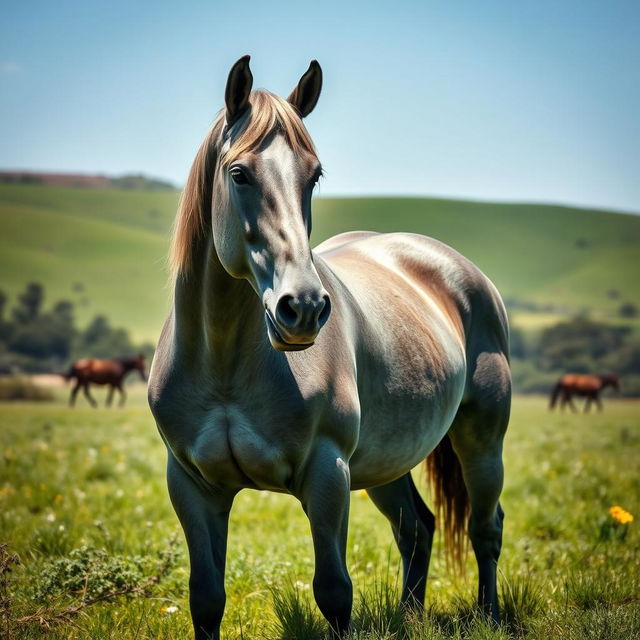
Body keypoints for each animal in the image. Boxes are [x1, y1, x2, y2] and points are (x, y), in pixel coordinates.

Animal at [148, 56, 512, 640]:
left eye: (314, 175)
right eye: (239, 173)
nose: (303, 307)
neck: (225, 366)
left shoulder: (327, 474)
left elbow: (334, 592)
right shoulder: (191, 486)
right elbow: (205, 599)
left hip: (481, 439)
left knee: (485, 527)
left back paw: (490, 616)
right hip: (387, 459)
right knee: (417, 528)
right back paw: (410, 617)